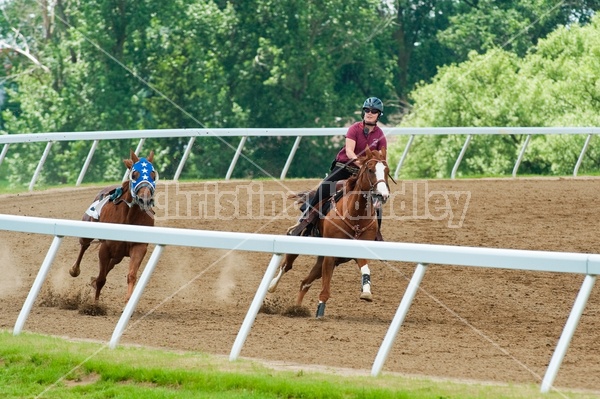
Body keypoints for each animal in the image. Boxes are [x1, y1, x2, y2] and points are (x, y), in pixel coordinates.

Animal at [69, 151, 158, 304]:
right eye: (134, 174)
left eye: (153, 174)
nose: (145, 200)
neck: (129, 217)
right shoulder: (105, 247)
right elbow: (101, 279)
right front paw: (95, 304)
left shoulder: (139, 246)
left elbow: (131, 274)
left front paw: (128, 298)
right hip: (88, 232)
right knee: (84, 246)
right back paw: (75, 270)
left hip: (119, 252)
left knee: (112, 263)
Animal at [268, 147, 390, 318]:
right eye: (371, 170)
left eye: (387, 171)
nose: (383, 195)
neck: (355, 218)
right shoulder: (330, 256)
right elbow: (325, 287)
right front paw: (320, 310)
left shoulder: (357, 252)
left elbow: (365, 269)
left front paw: (366, 292)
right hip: (301, 241)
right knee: (286, 266)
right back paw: (272, 285)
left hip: (322, 261)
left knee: (305, 283)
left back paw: (296, 309)